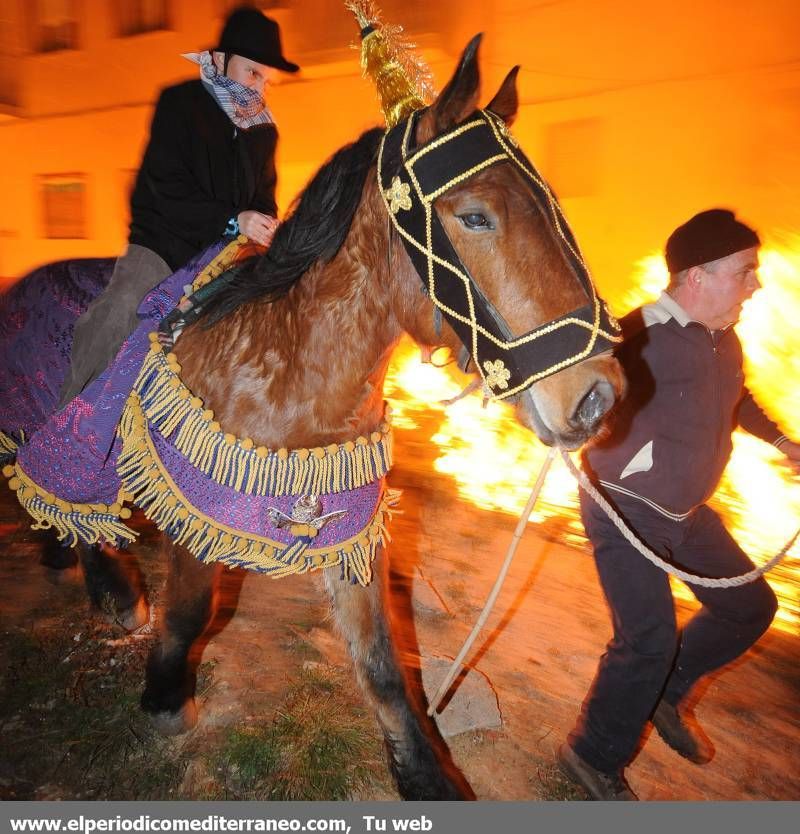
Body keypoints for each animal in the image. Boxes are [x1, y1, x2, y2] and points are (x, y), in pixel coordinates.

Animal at [0, 39, 624, 800]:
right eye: (476, 216)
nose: (597, 396)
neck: (285, 363)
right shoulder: (196, 512)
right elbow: (188, 611)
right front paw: (167, 697)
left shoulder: (346, 527)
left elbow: (382, 660)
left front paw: (426, 774)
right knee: (65, 488)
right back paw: (111, 590)